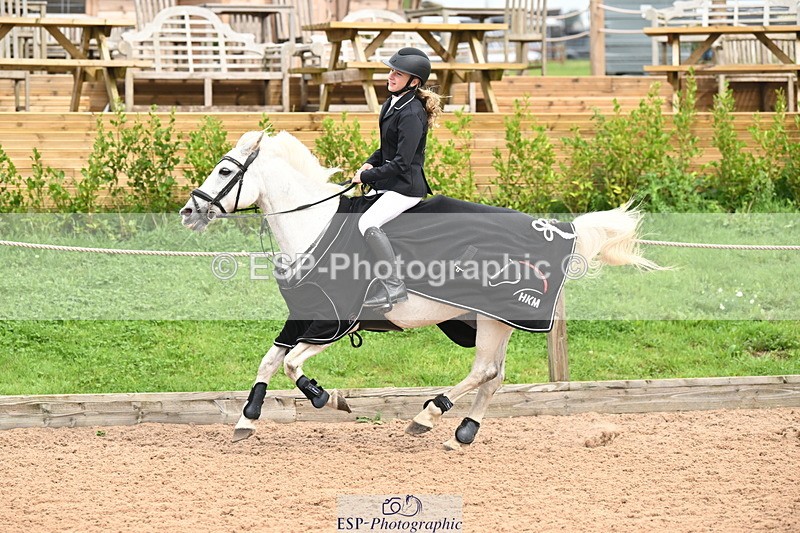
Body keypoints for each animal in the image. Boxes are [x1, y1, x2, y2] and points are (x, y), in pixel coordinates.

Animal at [180, 130, 661, 450]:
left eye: (225, 169)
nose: (188, 212)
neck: (313, 226)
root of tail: (562, 230)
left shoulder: (333, 322)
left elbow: (292, 365)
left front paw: (329, 399)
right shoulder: (303, 316)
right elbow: (269, 360)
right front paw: (247, 420)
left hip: (492, 319)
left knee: (484, 371)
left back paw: (427, 416)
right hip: (488, 321)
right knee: (496, 375)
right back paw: (463, 434)